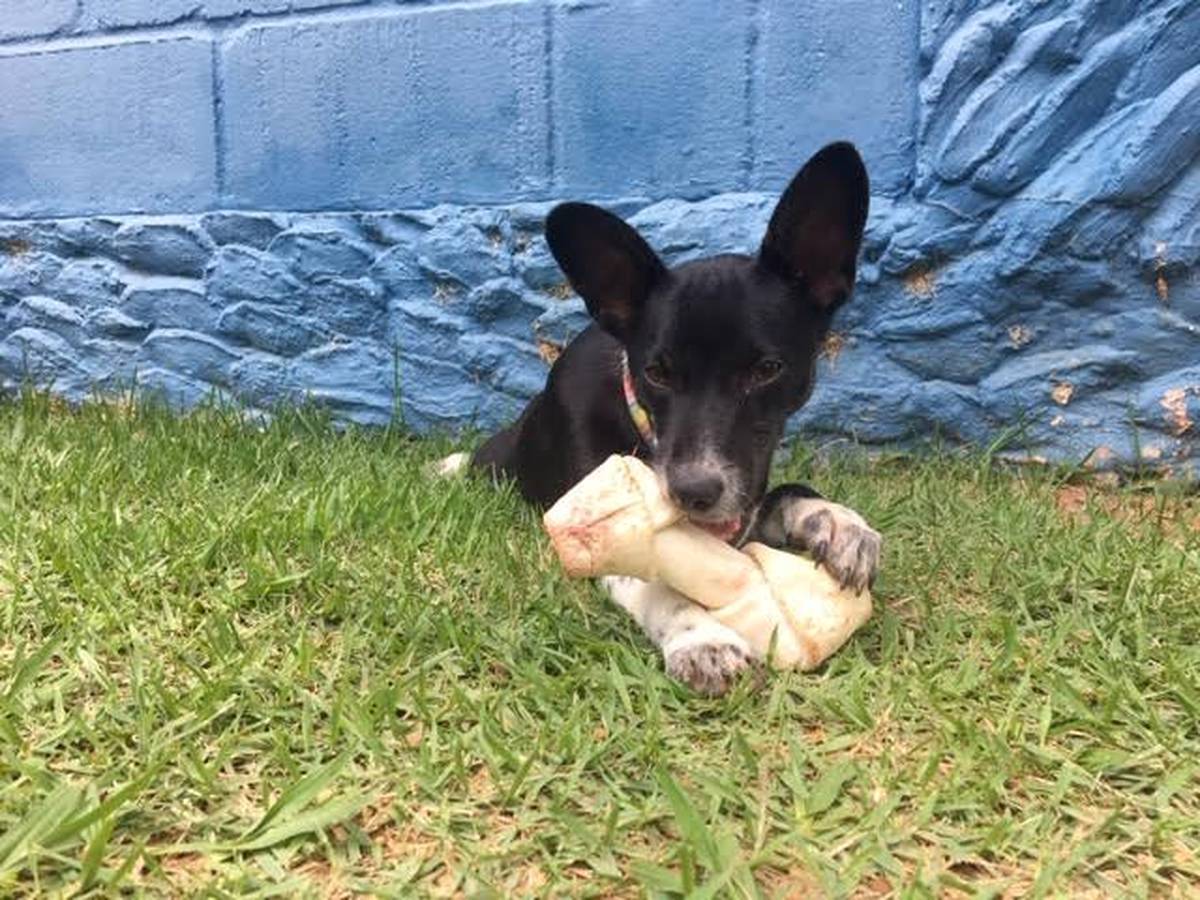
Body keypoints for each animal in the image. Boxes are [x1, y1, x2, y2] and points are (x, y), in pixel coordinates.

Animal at [452, 142, 882, 696]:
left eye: (767, 369)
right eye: (656, 372)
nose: (694, 491)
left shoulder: (747, 488)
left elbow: (789, 491)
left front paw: (839, 524)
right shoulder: (598, 530)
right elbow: (657, 584)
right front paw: (703, 640)